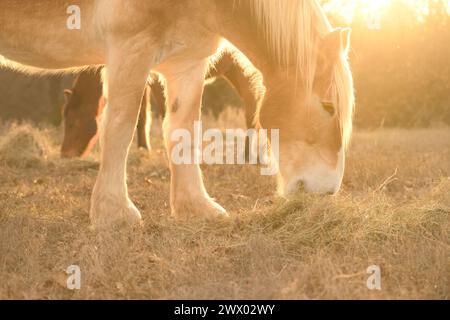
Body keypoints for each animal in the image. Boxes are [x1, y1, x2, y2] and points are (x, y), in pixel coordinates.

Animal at [1, 1, 356, 229]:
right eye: (328, 107)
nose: (325, 191)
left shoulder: (186, 62)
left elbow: (183, 130)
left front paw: (196, 207)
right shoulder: (131, 47)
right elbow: (120, 126)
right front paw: (114, 213)